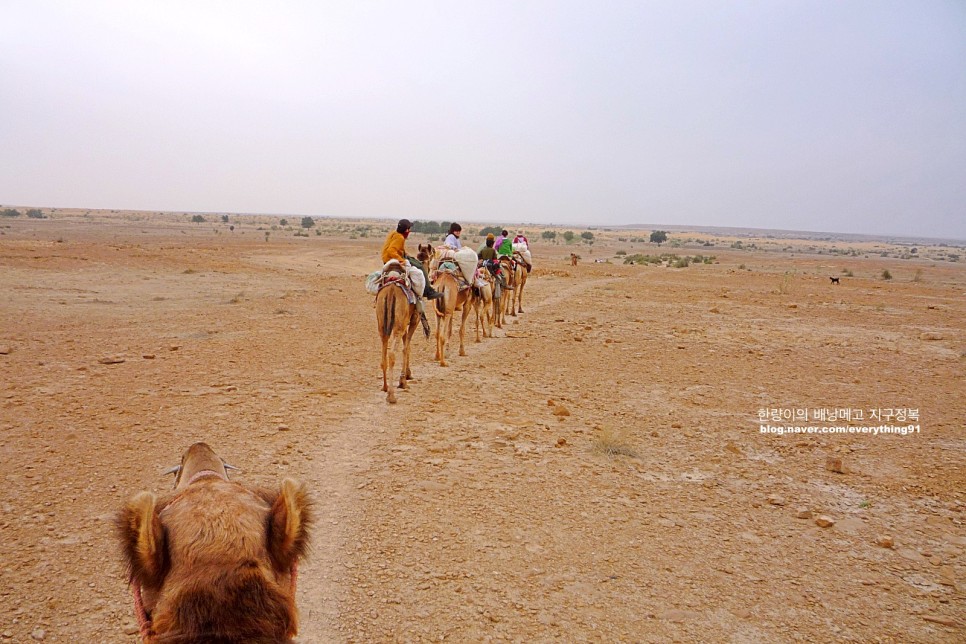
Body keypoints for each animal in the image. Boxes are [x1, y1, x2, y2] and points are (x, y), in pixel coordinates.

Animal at [374, 264, 420, 400]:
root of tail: (391, 291)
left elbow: (406, 346)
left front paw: (406, 376)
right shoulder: (414, 320)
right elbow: (406, 348)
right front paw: (403, 381)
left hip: (382, 325)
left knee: (384, 356)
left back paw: (385, 387)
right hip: (398, 326)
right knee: (392, 354)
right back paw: (391, 396)